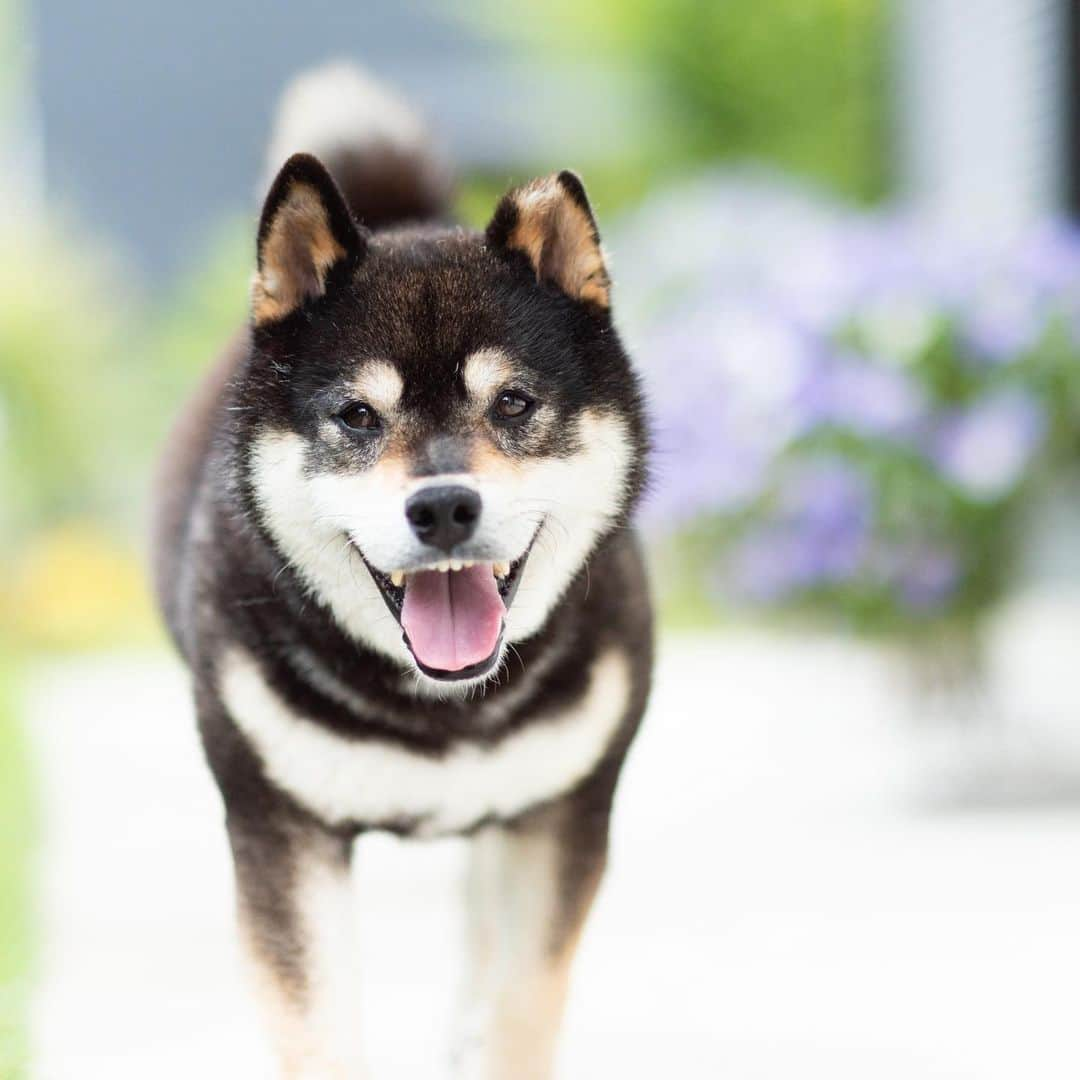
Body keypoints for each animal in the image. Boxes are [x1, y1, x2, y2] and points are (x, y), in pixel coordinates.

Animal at [151, 63, 652, 1075]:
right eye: (356, 416)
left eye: (513, 403)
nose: (444, 506)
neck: (440, 710)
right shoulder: (281, 830)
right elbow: (317, 1027)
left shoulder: (558, 816)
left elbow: (519, 1008)